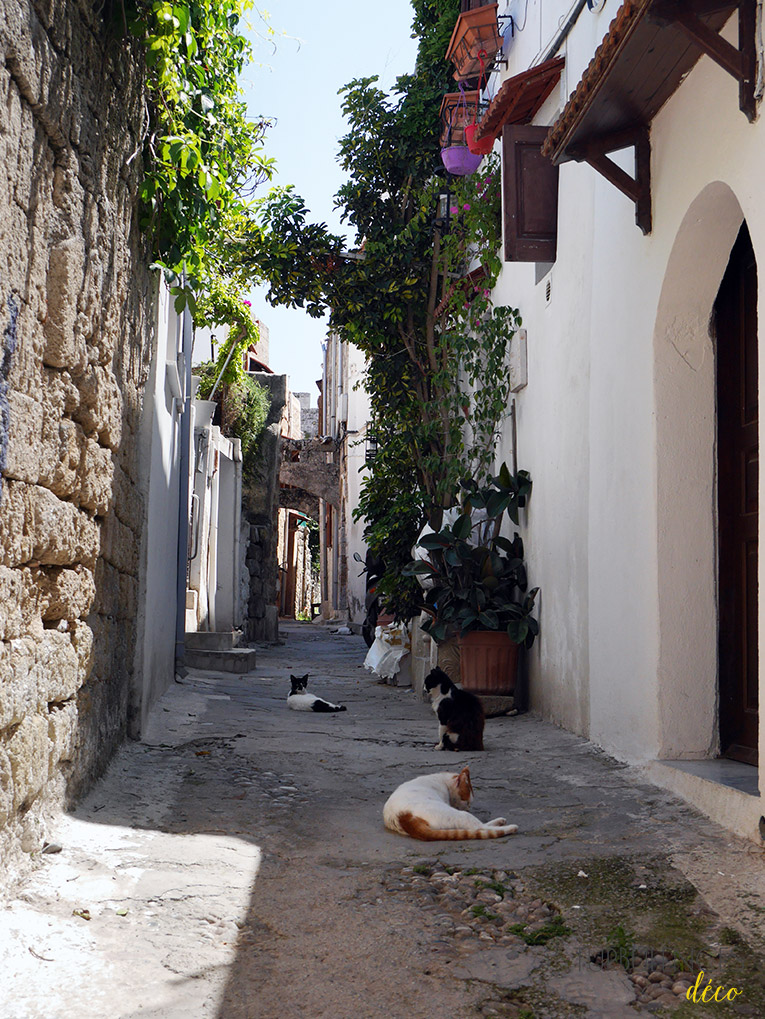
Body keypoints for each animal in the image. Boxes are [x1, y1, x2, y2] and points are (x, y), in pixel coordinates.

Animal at [385, 766, 517, 839]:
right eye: (467, 802)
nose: (468, 808)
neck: (441, 780)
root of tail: (403, 817)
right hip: (460, 816)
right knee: (481, 828)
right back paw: (509, 827)